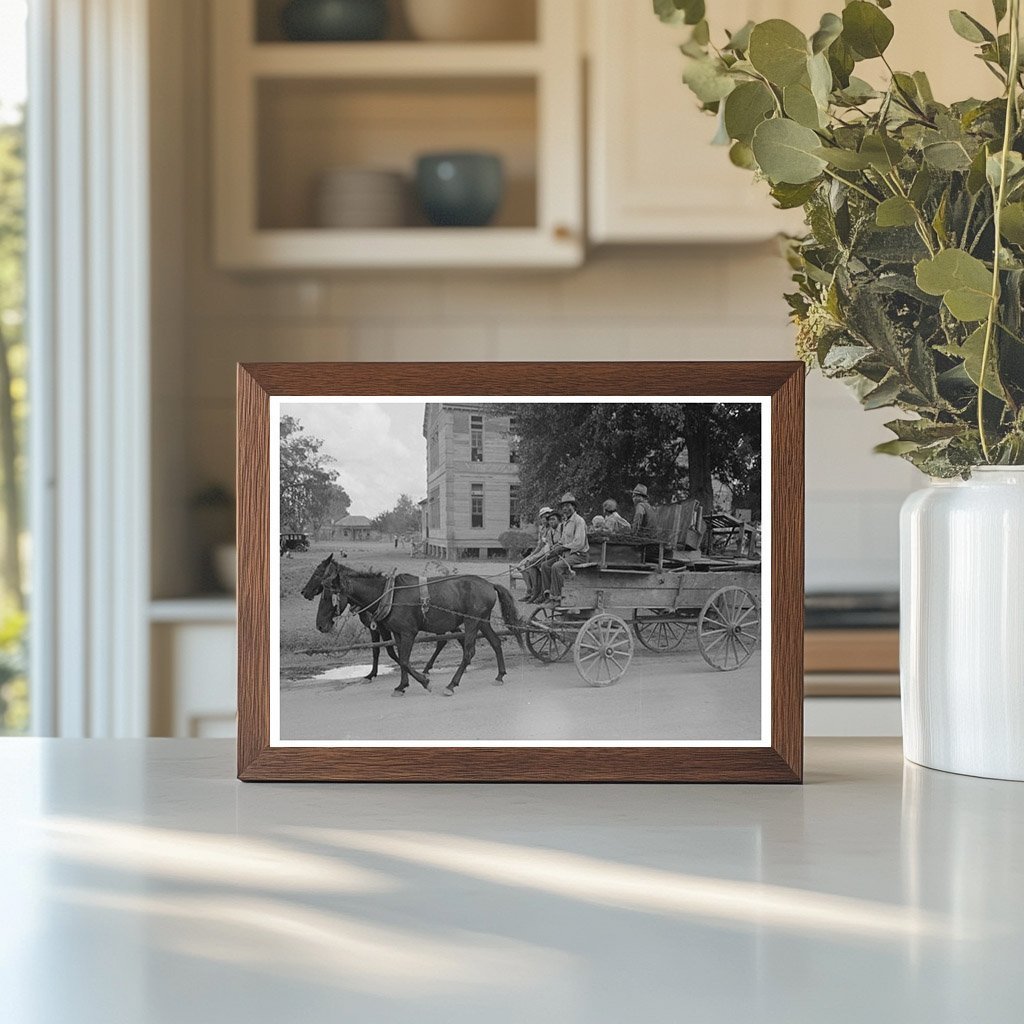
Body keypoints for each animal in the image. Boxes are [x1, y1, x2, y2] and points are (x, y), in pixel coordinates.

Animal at [321, 561, 528, 696]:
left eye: (327, 596)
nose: (321, 625)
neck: (389, 595)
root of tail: (490, 584)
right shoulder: (397, 633)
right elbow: (400, 658)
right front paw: (402, 686)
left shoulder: (409, 632)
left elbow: (404, 660)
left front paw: (424, 682)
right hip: (482, 620)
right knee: (496, 643)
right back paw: (499, 675)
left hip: (471, 622)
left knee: (469, 652)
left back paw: (452, 684)